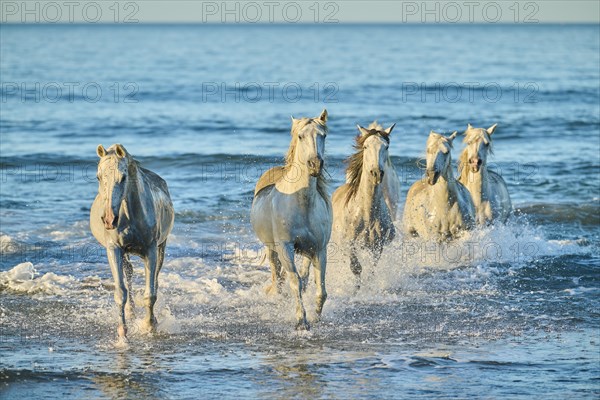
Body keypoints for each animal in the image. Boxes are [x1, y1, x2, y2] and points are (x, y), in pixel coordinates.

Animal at [89, 145, 175, 340]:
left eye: (123, 177)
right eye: (98, 177)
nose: (109, 220)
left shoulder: (151, 250)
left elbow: (150, 293)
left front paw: (149, 326)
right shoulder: (114, 249)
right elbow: (121, 292)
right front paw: (123, 333)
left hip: (161, 247)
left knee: (155, 278)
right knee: (128, 273)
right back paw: (130, 312)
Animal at [250, 110, 332, 332]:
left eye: (323, 135)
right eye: (301, 136)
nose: (315, 165)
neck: (301, 204)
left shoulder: (319, 249)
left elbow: (321, 289)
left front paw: (315, 318)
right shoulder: (285, 247)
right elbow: (294, 281)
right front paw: (301, 321)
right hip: (272, 248)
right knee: (277, 275)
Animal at [332, 122, 398, 282]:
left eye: (386, 147)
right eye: (366, 146)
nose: (376, 173)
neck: (367, 214)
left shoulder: (377, 247)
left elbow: (371, 269)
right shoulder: (349, 246)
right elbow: (356, 268)